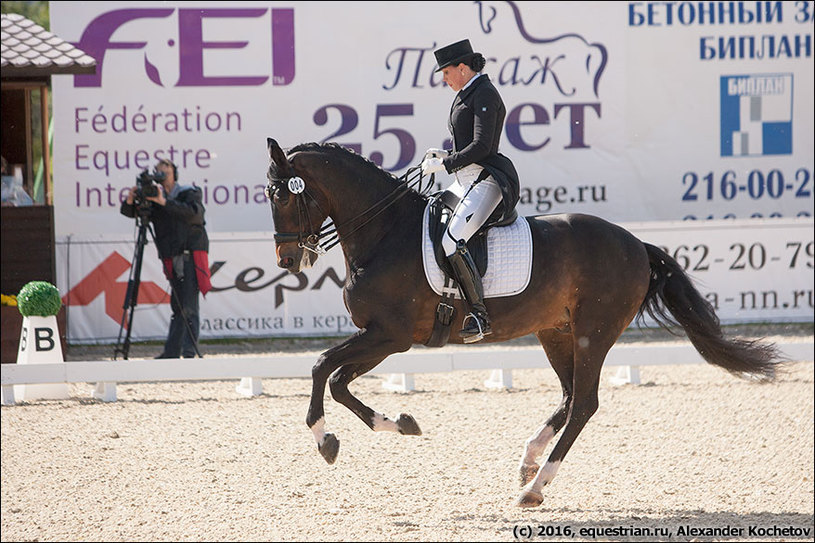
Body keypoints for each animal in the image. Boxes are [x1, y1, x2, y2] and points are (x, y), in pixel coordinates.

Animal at [264, 138, 780, 508]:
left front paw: (325, 440)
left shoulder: (389, 336)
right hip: (556, 332)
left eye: (284, 197)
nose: (288, 259)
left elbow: (321, 369)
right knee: (570, 397)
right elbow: (338, 382)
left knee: (584, 403)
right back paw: (529, 462)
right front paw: (401, 424)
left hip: (593, 333)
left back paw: (535, 487)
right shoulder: (380, 338)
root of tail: (636, 244)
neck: (385, 233)